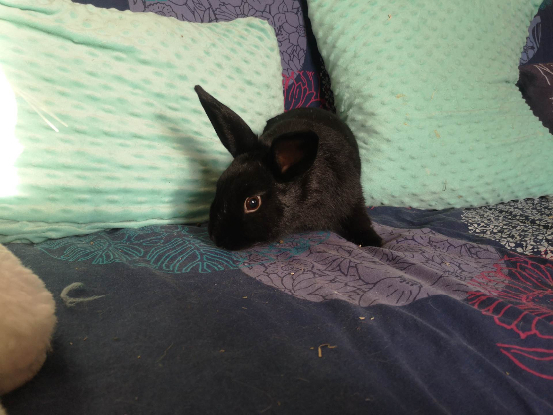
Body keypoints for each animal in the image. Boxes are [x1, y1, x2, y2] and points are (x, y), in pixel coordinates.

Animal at [195, 85, 382, 251]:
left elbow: (359, 217)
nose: (216, 238)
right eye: (218, 186)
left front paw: (373, 242)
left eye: (253, 203)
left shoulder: (352, 194)